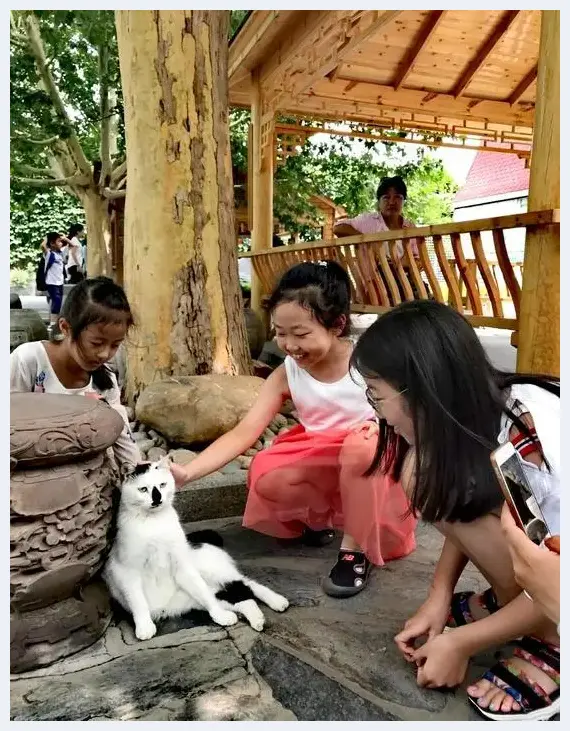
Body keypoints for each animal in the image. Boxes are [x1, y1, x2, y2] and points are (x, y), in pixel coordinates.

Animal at [102, 458, 288, 640]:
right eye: (143, 489)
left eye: (162, 485)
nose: (157, 498)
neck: (155, 524)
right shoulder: (127, 571)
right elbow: (137, 600)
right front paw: (144, 626)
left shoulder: (183, 566)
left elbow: (204, 594)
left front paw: (220, 615)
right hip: (211, 594)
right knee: (243, 598)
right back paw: (257, 619)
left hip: (214, 571)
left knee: (247, 583)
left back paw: (277, 601)